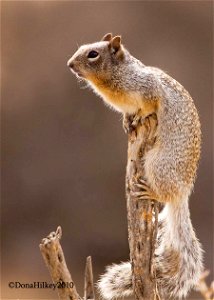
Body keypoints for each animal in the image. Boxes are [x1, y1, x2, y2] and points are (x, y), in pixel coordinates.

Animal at [67, 34, 203, 298]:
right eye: (82, 48)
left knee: (162, 192)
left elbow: (149, 107)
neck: (113, 82)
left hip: (157, 164)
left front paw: (139, 117)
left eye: (93, 54)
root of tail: (182, 194)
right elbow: (129, 115)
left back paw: (150, 191)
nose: (69, 64)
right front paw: (127, 120)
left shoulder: (148, 90)